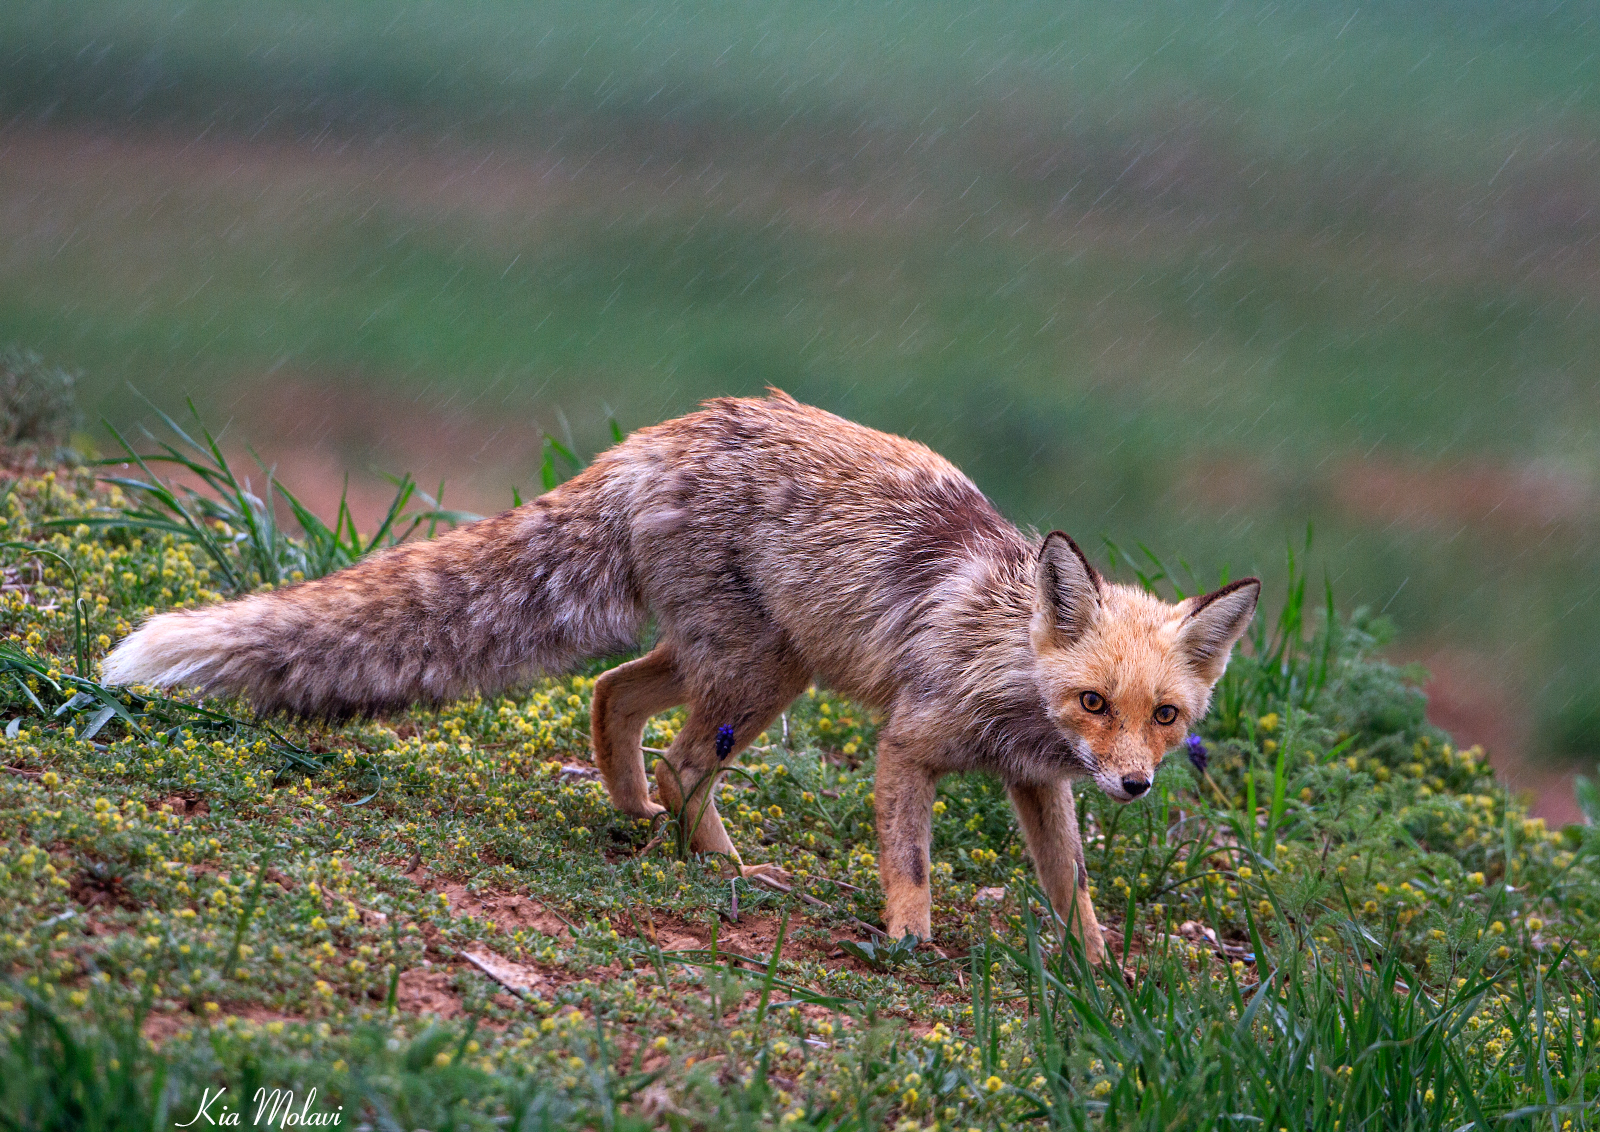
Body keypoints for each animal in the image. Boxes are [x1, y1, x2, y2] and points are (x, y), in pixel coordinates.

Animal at [104, 391, 1257, 963]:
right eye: (1093, 701)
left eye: (1164, 716)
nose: (1134, 784)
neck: (1007, 658)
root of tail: (654, 441)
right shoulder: (910, 744)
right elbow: (914, 864)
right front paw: (908, 942)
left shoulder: (1037, 782)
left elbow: (1073, 887)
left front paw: (1099, 973)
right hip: (760, 674)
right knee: (676, 760)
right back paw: (716, 865)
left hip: (746, 664)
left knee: (612, 698)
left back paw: (645, 823)